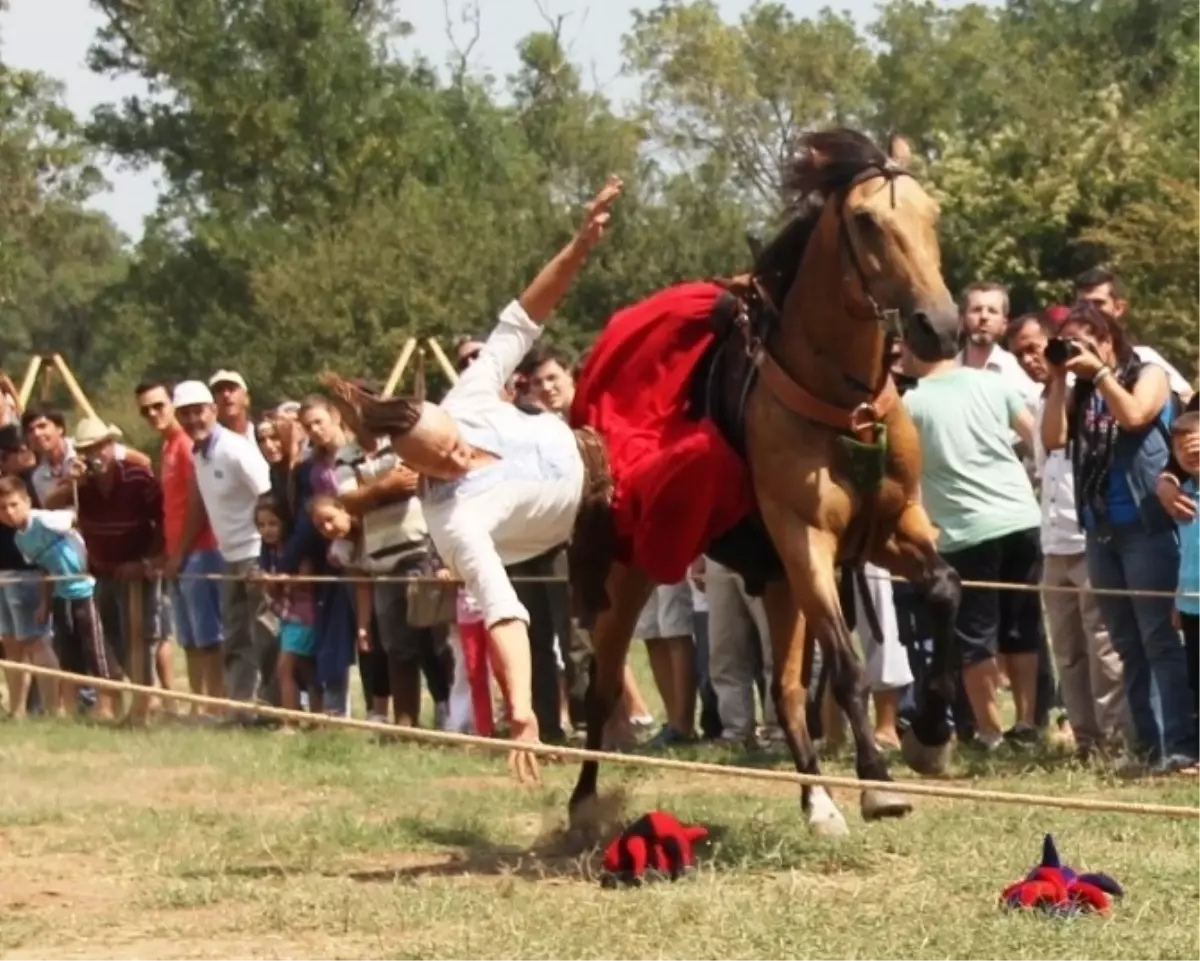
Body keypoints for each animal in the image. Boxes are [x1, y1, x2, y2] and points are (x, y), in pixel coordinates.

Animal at [564, 131, 964, 835]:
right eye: (867, 220)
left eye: (932, 214)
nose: (939, 327)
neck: (846, 404)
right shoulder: (808, 540)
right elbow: (847, 664)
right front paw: (877, 782)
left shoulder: (891, 528)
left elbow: (944, 590)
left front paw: (932, 730)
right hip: (629, 572)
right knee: (603, 687)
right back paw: (585, 802)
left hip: (775, 582)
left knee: (785, 690)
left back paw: (818, 802)